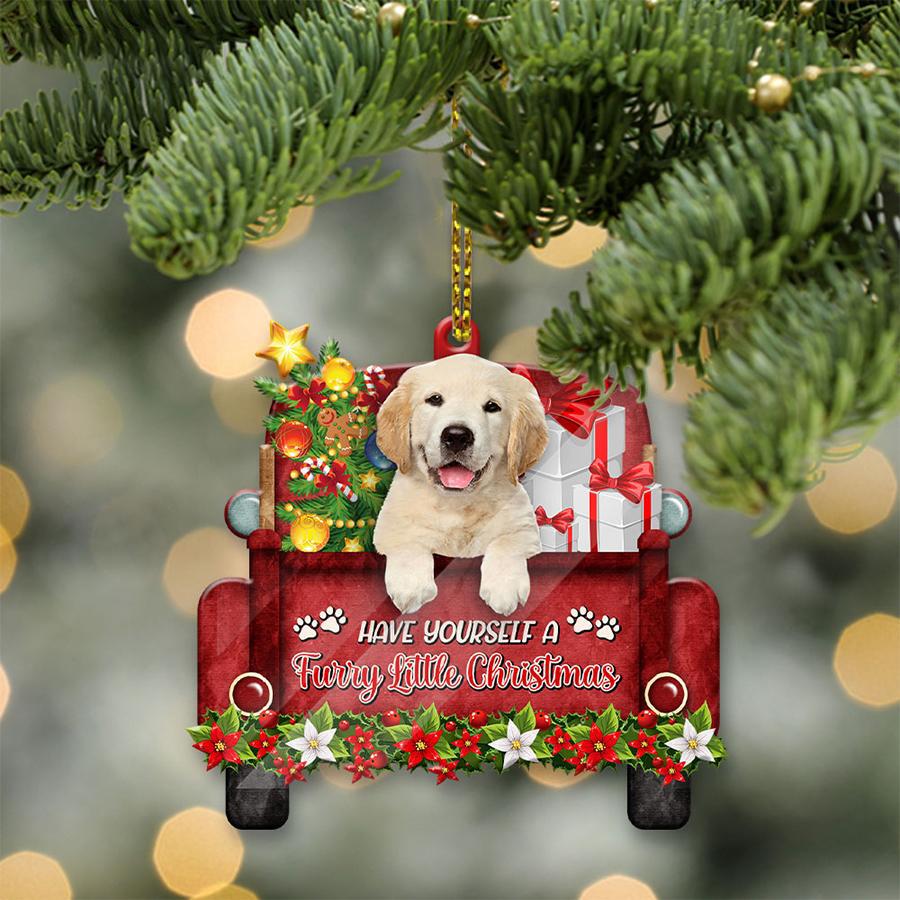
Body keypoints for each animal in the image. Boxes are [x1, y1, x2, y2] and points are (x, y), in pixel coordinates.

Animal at [372, 356, 548, 616]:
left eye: (492, 406)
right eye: (435, 399)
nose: (457, 436)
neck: (456, 504)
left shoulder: (524, 530)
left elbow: (507, 543)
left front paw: (504, 587)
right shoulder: (390, 528)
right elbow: (407, 543)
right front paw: (411, 585)